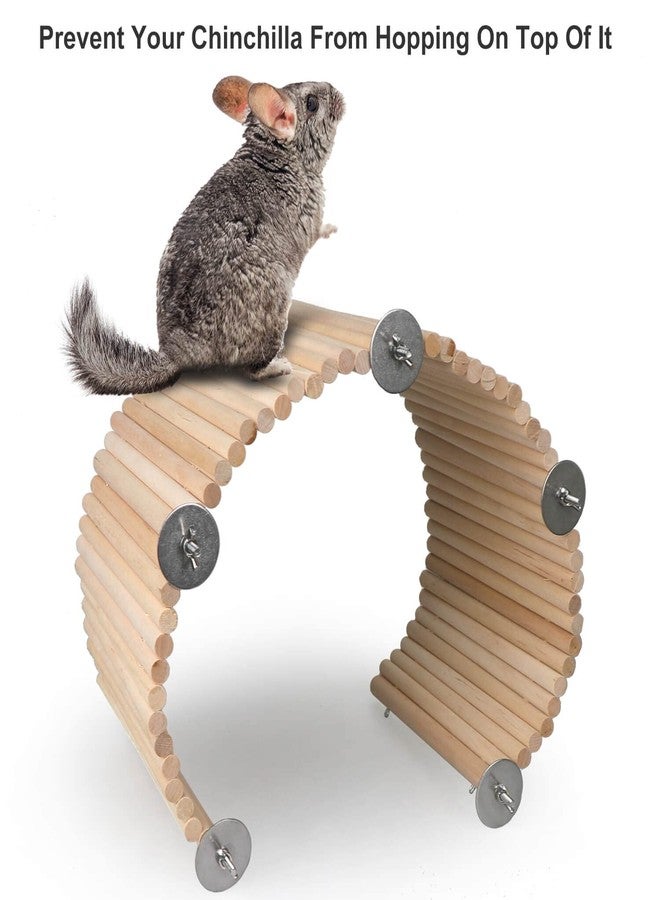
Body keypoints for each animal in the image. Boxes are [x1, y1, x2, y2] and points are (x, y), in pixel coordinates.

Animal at [64, 76, 344, 394]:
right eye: (312, 103)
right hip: (274, 308)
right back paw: (279, 367)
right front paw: (333, 229)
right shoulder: (310, 215)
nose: (336, 89)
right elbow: (318, 231)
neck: (277, 154)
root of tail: (177, 355)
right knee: (253, 369)